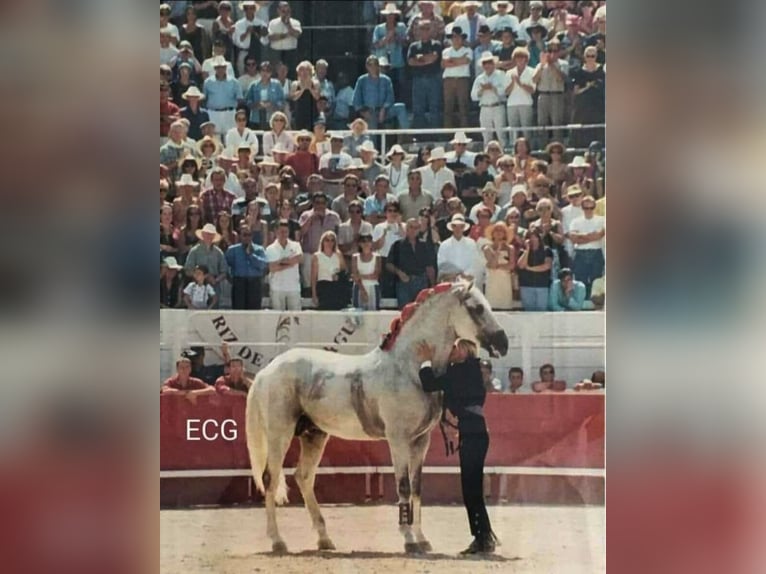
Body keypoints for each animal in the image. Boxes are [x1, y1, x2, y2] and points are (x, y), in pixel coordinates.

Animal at [248, 282, 510, 556]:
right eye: (477, 308)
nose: (503, 343)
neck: (408, 368)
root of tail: (267, 371)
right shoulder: (398, 440)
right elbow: (403, 486)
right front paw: (409, 540)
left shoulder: (420, 441)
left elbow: (417, 487)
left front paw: (422, 540)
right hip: (280, 434)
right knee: (270, 478)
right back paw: (278, 541)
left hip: (314, 435)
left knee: (304, 477)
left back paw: (324, 540)